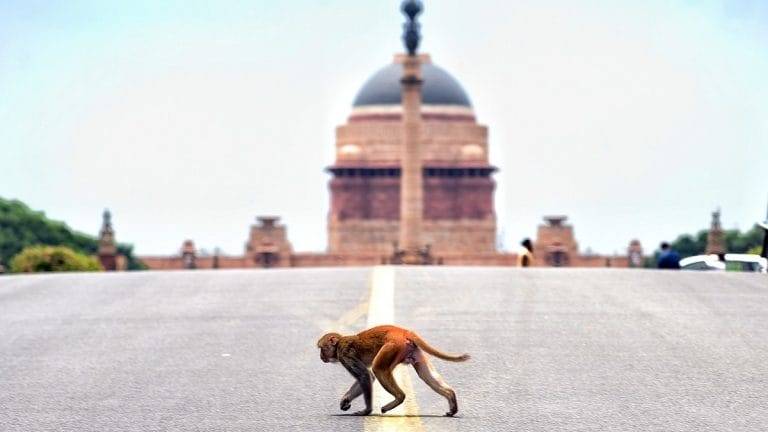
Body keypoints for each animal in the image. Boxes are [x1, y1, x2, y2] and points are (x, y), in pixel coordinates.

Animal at [317, 324, 470, 417]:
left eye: (322, 349)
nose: (321, 357)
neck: (339, 344)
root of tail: (402, 331)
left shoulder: (345, 354)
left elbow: (365, 376)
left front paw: (366, 411)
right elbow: (369, 376)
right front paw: (345, 400)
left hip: (392, 346)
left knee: (378, 368)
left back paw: (399, 397)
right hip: (412, 350)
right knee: (424, 374)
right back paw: (451, 397)